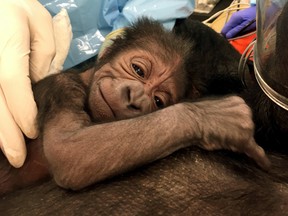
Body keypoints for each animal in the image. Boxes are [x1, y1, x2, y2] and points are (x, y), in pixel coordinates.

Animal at [0, 18, 270, 194]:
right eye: (138, 70)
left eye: (158, 101)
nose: (135, 98)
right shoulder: (62, 86)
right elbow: (67, 149)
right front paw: (214, 117)